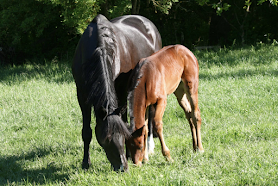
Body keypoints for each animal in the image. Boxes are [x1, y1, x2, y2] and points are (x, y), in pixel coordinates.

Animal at [71, 14, 162, 171]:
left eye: (123, 136)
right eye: (107, 138)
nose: (122, 168)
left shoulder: (120, 91)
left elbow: (125, 121)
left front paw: (130, 154)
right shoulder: (82, 96)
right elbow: (86, 132)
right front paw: (85, 163)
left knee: (150, 114)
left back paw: (149, 146)